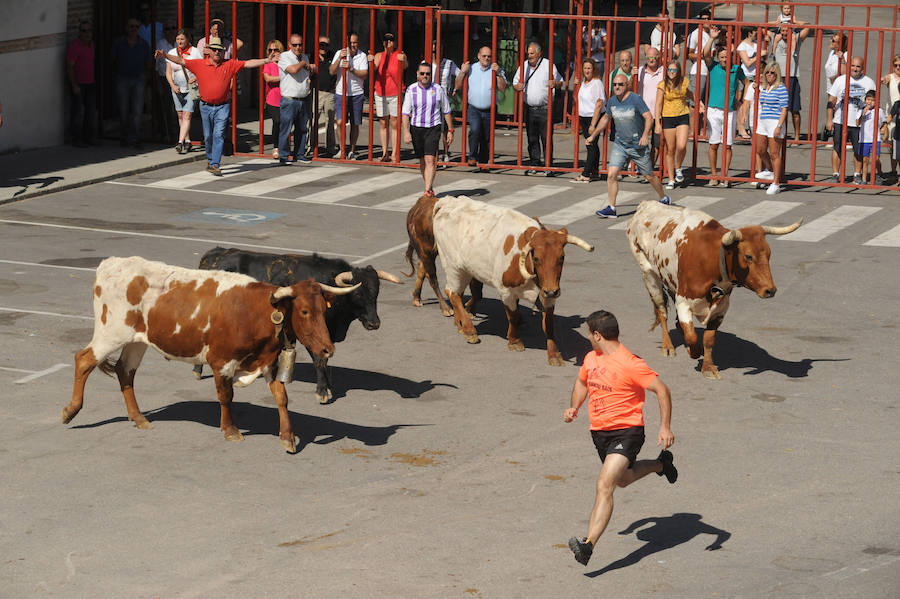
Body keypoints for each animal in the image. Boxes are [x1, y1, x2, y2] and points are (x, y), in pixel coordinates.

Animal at [61, 255, 358, 452]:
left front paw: (288, 436)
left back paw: (139, 418)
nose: (327, 348)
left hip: (136, 341)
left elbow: (282, 398)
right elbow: (226, 396)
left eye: (324, 309)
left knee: (125, 371)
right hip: (110, 334)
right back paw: (70, 411)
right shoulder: (221, 362)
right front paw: (231, 430)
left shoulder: (268, 363)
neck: (254, 311)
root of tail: (112, 263)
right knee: (83, 360)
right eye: (304, 311)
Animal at [194, 246, 400, 406]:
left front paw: (328, 387)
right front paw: (322, 392)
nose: (374, 323)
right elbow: (319, 360)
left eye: (376, 292)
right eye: (357, 294)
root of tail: (214, 254)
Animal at [406, 196, 592, 366]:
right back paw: (469, 329)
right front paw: (515, 341)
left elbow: (549, 324)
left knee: (457, 292)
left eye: (561, 257)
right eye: (537, 258)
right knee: (452, 293)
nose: (552, 290)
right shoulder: (506, 291)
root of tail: (445, 201)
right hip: (453, 266)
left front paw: (554, 354)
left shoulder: (547, 294)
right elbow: (513, 316)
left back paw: (459, 323)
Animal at [624, 202, 800, 380]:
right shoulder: (683, 303)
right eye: (748, 256)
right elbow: (692, 336)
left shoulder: (720, 309)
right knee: (662, 312)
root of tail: (646, 205)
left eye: (769, 254)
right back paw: (668, 346)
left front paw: (708, 367)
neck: (711, 258)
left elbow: (708, 339)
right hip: (650, 275)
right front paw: (693, 351)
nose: (770, 290)